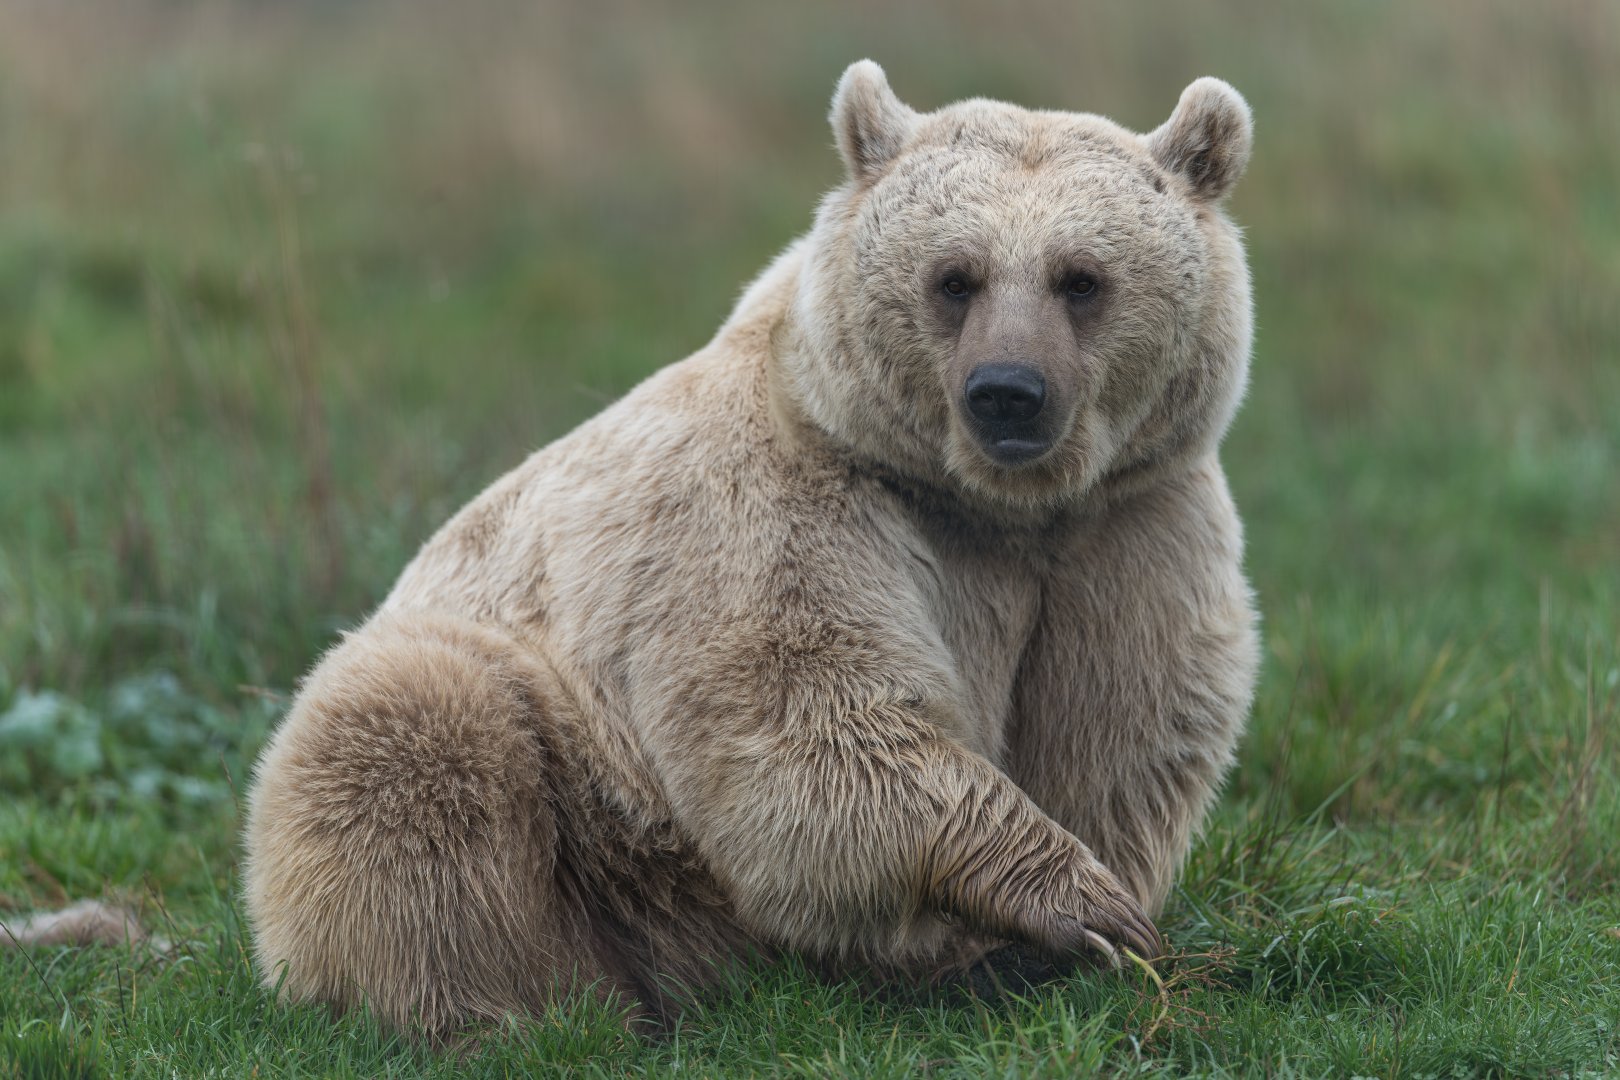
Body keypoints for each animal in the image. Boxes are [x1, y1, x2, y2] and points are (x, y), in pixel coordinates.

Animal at [242, 60, 1260, 1038]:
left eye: (1081, 278)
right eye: (955, 277)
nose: (1007, 391)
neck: (991, 506)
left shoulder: (1127, 527)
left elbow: (1119, 725)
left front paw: (1062, 937)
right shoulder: (777, 511)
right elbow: (814, 722)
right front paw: (1076, 912)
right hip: (592, 802)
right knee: (409, 747)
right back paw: (504, 1015)